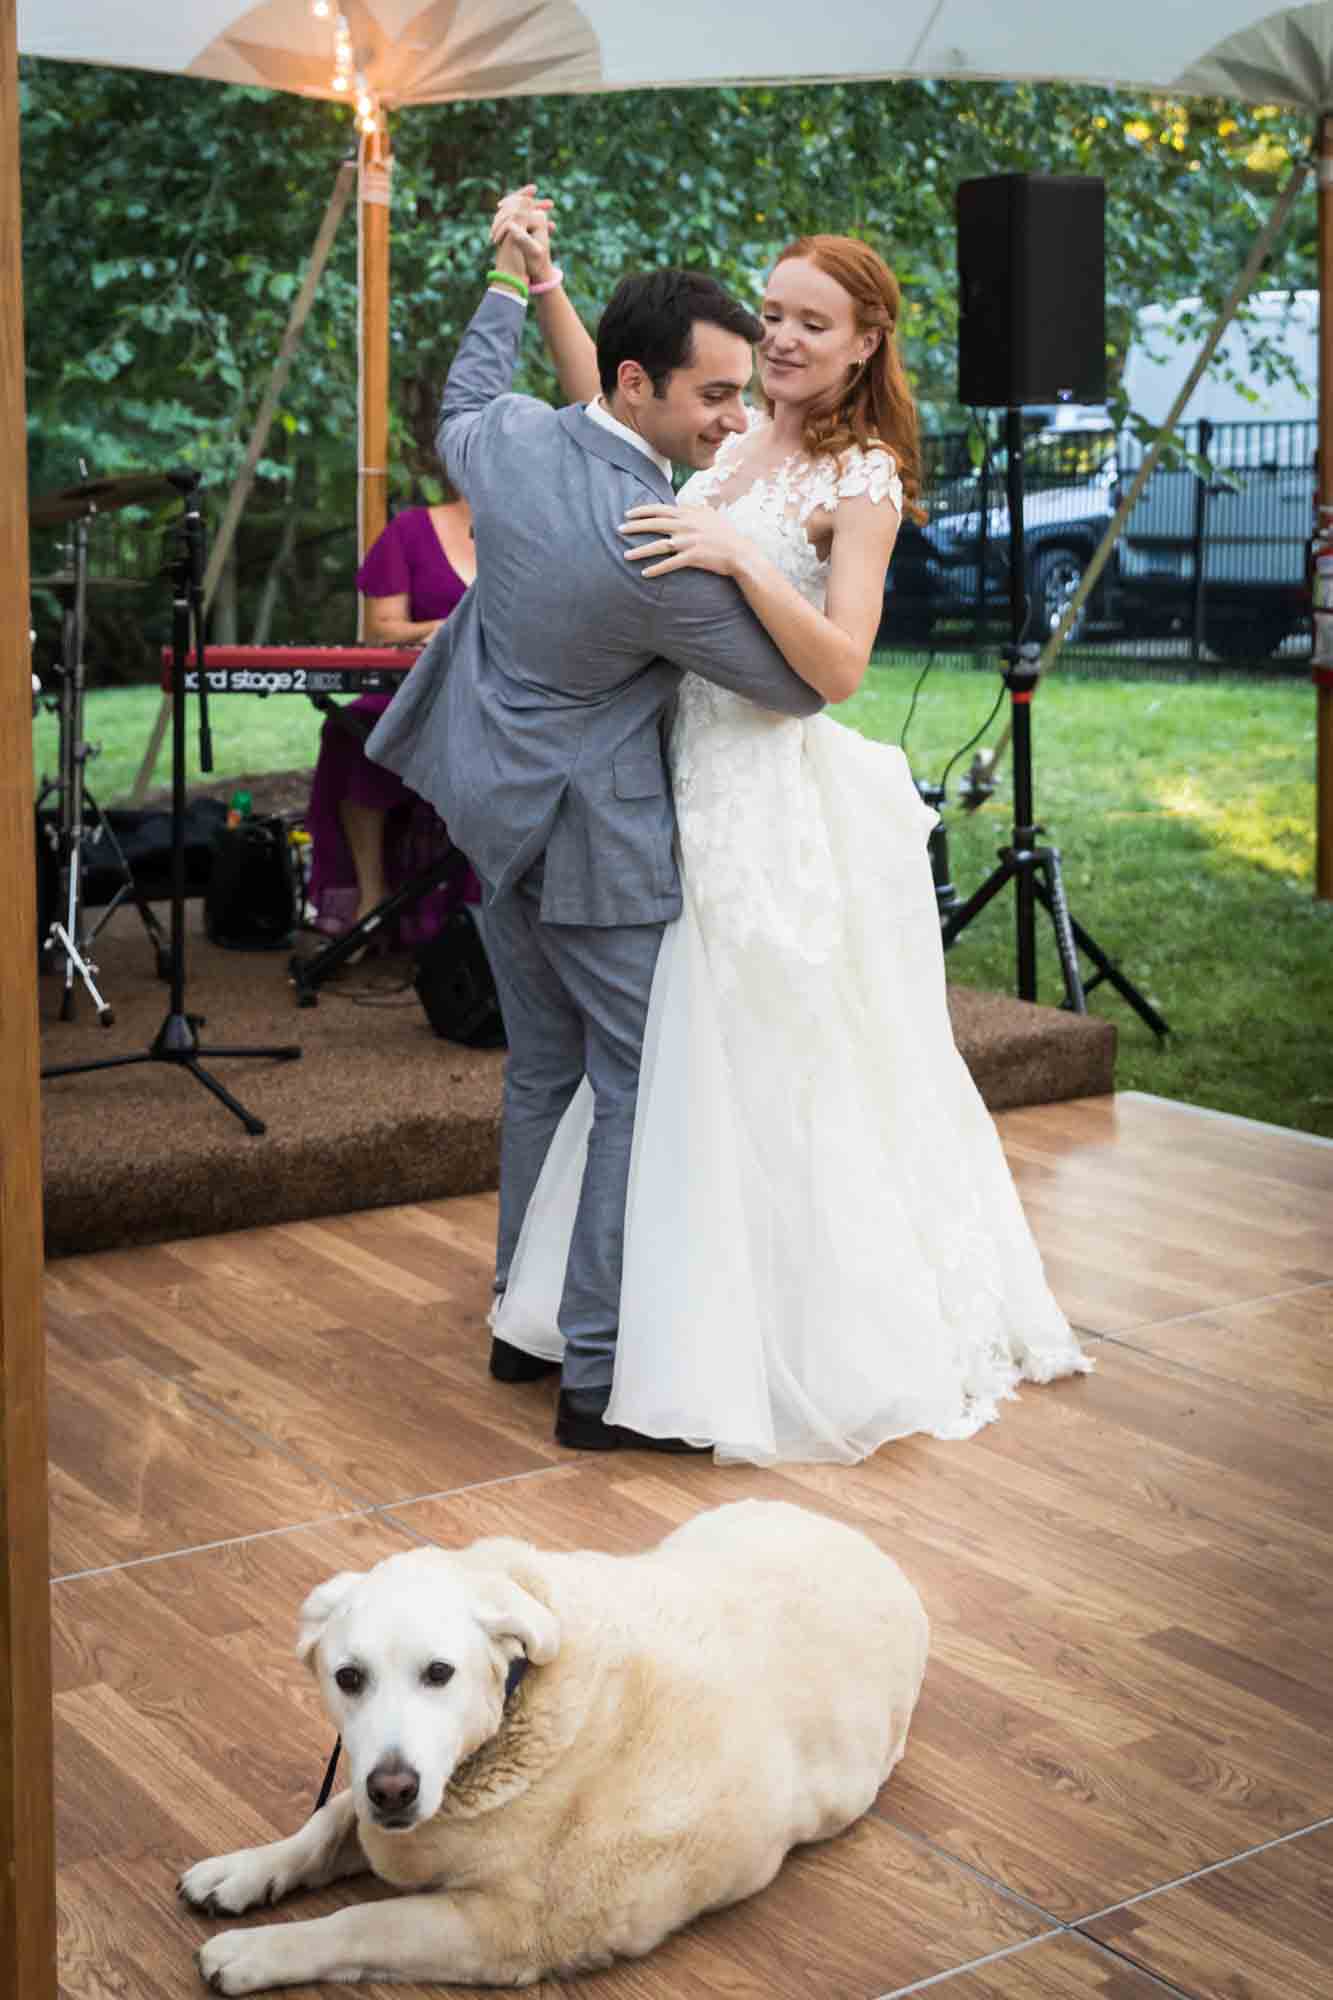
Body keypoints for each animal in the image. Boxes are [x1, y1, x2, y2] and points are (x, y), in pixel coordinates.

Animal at [179, 1504, 924, 1984]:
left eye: (439, 1673)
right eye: (348, 1678)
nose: (395, 1790)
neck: (515, 1710)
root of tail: (867, 1543)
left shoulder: (512, 1928)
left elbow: (362, 1921)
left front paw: (258, 1951)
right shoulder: (389, 1802)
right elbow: (327, 1822)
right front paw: (244, 1870)